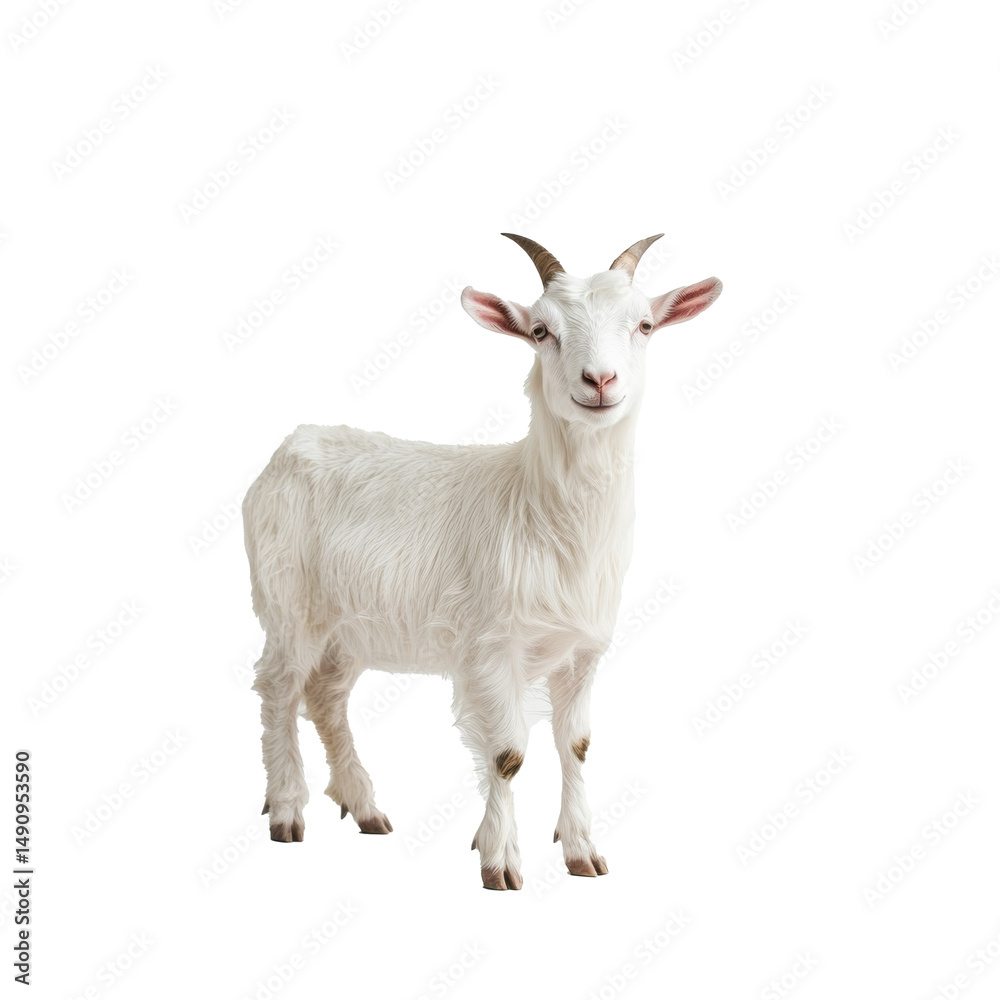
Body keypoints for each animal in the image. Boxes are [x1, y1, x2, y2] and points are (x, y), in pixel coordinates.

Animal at [242, 233, 722, 889]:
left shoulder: (583, 651)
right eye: (542, 331)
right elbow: (507, 754)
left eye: (644, 325)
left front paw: (582, 852)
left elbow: (576, 745)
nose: (600, 380)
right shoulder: (493, 645)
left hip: (350, 629)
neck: (543, 517)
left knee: (326, 698)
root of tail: (289, 446)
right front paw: (500, 861)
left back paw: (364, 807)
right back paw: (288, 809)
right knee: (278, 689)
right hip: (290, 602)